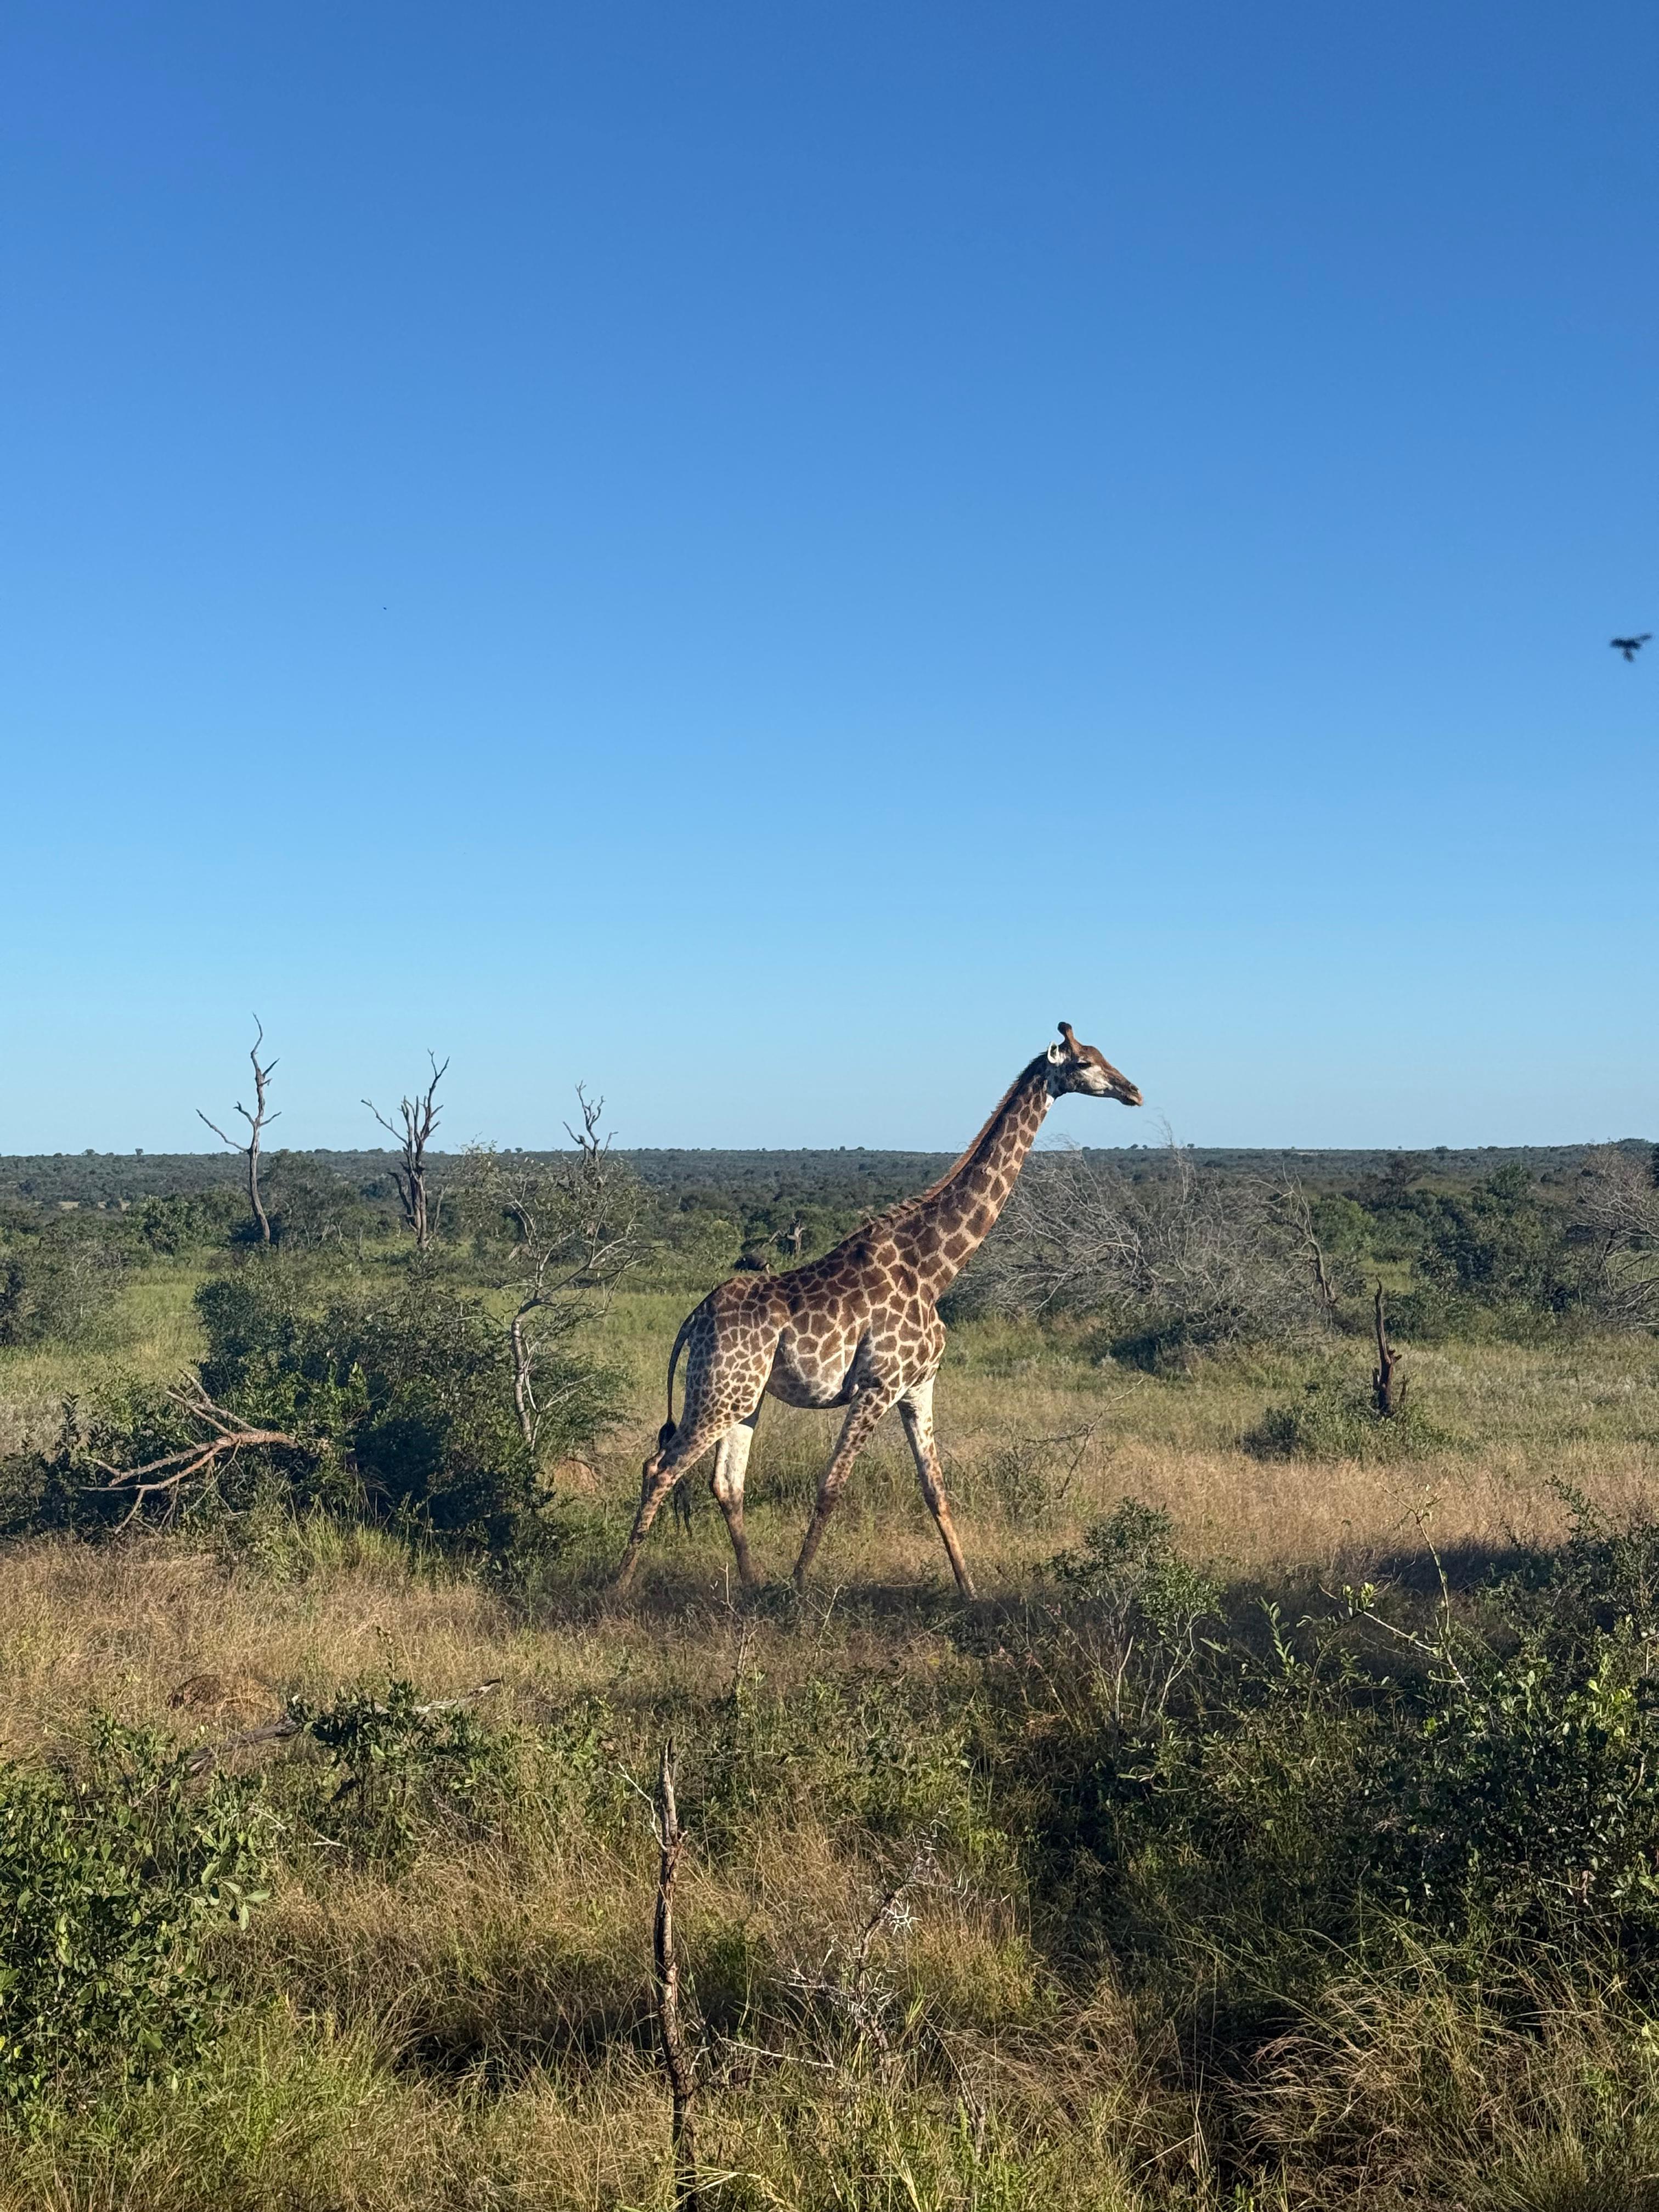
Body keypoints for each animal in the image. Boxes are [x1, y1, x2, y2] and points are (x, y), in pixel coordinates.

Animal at [615, 1023, 1141, 1597]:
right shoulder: (877, 1385)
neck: (933, 1268)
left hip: (742, 1397)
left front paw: (970, 1591)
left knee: (725, 1482)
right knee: (659, 1468)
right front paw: (796, 1591)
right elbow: (831, 1486)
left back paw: (751, 1586)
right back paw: (617, 1585)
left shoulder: (917, 1388)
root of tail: (694, 1318)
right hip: (718, 1394)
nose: (1134, 1092)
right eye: (1086, 1062)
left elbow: (936, 1490)